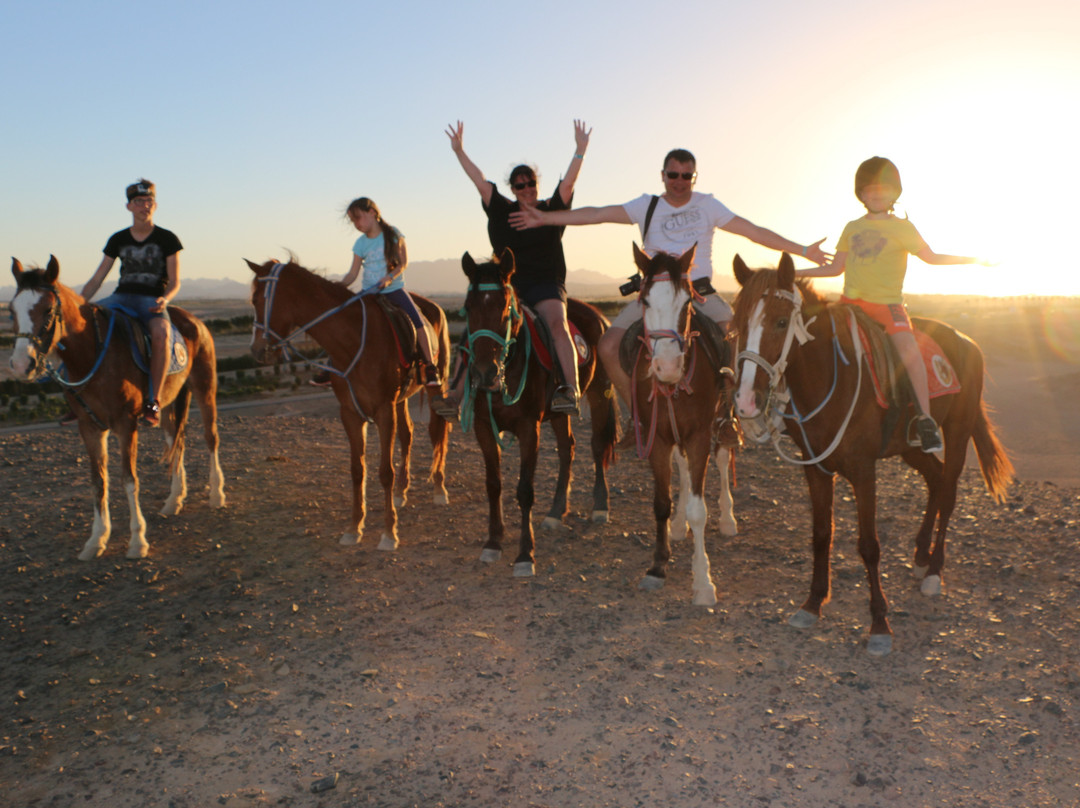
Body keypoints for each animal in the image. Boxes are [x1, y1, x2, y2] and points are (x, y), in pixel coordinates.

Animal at [9, 257, 226, 560]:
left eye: (48, 309)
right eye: (10, 310)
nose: (20, 365)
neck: (93, 356)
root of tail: (193, 321)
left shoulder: (126, 424)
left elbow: (128, 479)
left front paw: (137, 541)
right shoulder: (89, 426)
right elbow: (98, 480)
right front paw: (96, 539)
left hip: (205, 387)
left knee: (210, 437)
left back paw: (217, 494)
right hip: (168, 403)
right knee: (177, 441)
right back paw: (174, 500)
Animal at [246, 258, 451, 550]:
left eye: (256, 299)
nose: (256, 350)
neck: (354, 340)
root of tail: (433, 307)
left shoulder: (384, 410)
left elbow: (384, 472)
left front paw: (389, 533)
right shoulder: (350, 413)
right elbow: (357, 471)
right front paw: (354, 528)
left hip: (435, 385)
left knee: (437, 431)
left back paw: (439, 489)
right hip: (401, 399)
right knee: (408, 434)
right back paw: (402, 491)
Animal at [459, 249, 619, 577]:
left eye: (505, 308)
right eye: (468, 308)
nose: (484, 373)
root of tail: (598, 315)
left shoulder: (527, 428)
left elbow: (524, 490)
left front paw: (525, 554)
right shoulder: (484, 427)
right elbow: (493, 485)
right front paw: (493, 542)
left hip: (599, 394)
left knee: (597, 445)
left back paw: (600, 505)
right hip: (558, 414)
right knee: (567, 449)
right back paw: (556, 512)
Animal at [625, 244, 738, 605]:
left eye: (687, 302)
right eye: (645, 301)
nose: (668, 367)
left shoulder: (700, 435)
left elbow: (698, 511)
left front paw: (703, 582)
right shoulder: (658, 438)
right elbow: (662, 503)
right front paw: (658, 566)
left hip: (719, 421)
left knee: (721, 457)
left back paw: (728, 518)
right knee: (685, 470)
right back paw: (677, 527)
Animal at [730, 252, 1014, 656]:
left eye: (782, 322)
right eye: (737, 323)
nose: (746, 401)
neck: (829, 379)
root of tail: (968, 342)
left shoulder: (864, 471)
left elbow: (869, 546)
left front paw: (880, 624)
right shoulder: (816, 469)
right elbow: (821, 534)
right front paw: (812, 604)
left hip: (958, 432)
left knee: (949, 490)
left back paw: (935, 571)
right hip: (910, 447)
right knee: (935, 478)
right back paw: (921, 557)